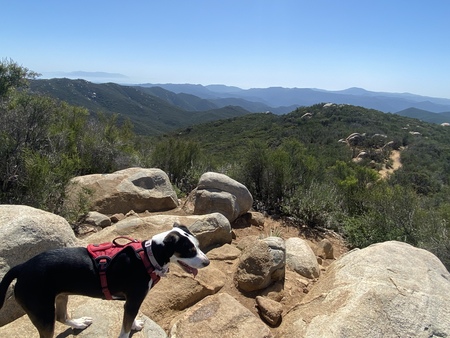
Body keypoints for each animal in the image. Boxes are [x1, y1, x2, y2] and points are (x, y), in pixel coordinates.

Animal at [0, 224, 209, 338]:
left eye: (198, 246)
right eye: (189, 250)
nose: (207, 262)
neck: (149, 256)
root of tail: (22, 267)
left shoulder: (132, 302)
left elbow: (130, 320)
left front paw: (135, 324)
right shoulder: (133, 300)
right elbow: (124, 328)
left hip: (60, 296)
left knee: (61, 316)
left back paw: (79, 323)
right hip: (42, 311)